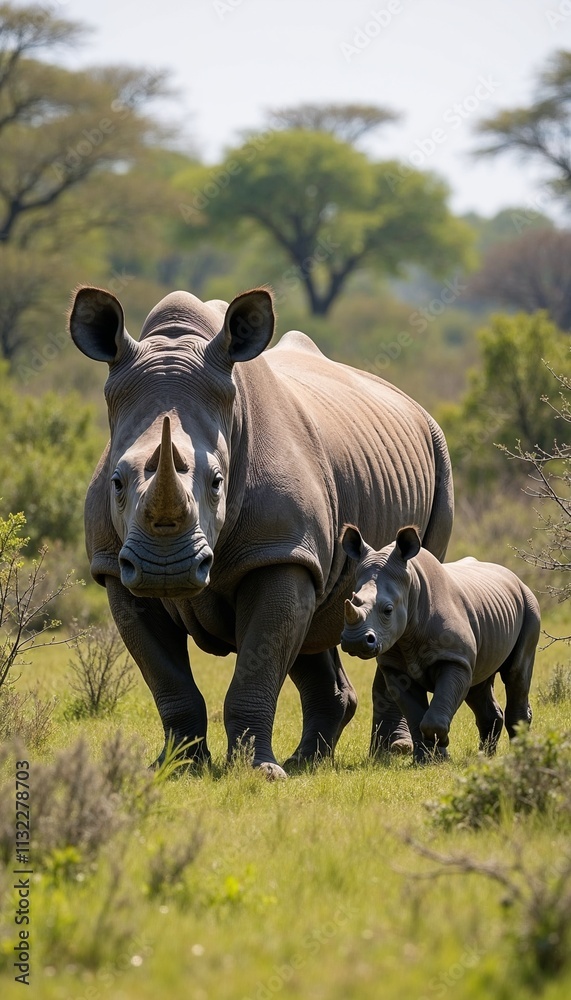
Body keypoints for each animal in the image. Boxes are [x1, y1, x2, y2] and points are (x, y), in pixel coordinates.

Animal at [69, 285, 454, 777]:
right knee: (317, 620)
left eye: (218, 482)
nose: (164, 569)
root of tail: (413, 404)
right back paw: (308, 760)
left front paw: (260, 773)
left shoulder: (279, 550)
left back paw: (393, 753)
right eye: (116, 482)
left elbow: (259, 665)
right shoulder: (115, 569)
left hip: (439, 454)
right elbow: (168, 682)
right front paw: (179, 767)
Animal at [341, 525, 540, 761]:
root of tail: (515, 577)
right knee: (478, 682)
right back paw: (486, 757)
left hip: (530, 605)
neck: (412, 588)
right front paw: (426, 759)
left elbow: (433, 716)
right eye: (352, 600)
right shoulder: (395, 668)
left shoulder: (454, 658)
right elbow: (416, 718)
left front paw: (442, 745)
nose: (354, 642)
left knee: (516, 674)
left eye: (388, 610)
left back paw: (521, 754)